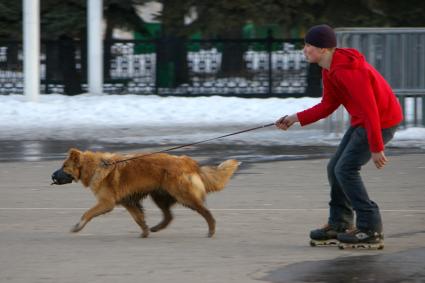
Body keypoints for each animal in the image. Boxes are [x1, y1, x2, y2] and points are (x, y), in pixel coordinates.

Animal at [51, 150, 238, 239]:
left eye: (64, 166)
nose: (52, 176)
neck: (96, 166)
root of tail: (188, 162)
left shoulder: (106, 202)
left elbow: (87, 214)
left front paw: (77, 226)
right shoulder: (128, 202)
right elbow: (139, 218)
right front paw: (145, 232)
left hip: (183, 196)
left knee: (205, 212)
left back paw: (211, 230)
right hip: (160, 196)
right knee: (169, 216)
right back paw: (156, 228)